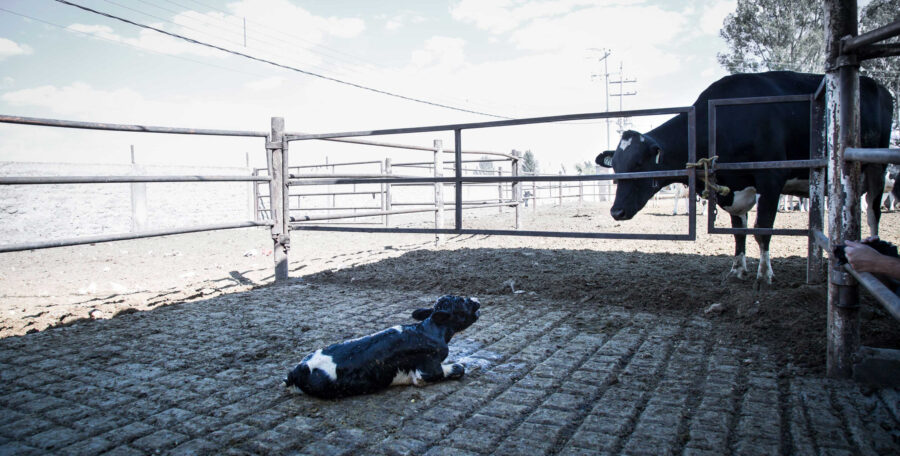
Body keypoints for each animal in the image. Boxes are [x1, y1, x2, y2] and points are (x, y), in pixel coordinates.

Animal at [284, 296, 482, 400]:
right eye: (462, 302)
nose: (476, 300)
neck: (427, 331)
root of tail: (297, 370)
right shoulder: (427, 370)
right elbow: (458, 368)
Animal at [596, 70, 892, 284]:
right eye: (616, 168)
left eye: (638, 164)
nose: (616, 211)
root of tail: (878, 86)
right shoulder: (731, 189)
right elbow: (739, 232)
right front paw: (737, 269)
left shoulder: (771, 179)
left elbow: (762, 230)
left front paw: (765, 274)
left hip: (877, 167)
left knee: (873, 211)